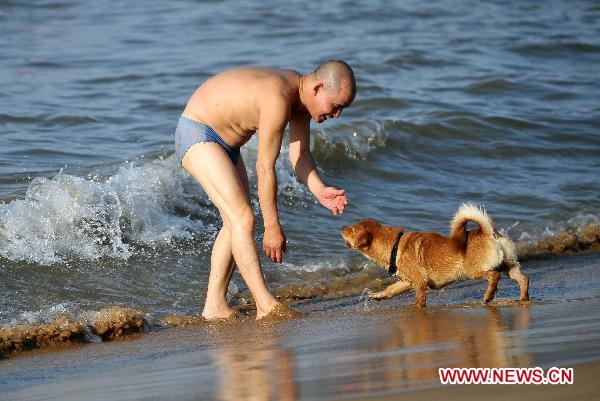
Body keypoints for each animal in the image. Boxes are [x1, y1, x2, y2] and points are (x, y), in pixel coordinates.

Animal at [342, 203, 528, 306]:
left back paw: (489, 296)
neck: (395, 244)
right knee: (523, 279)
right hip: (508, 266)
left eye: (352, 229)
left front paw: (416, 309)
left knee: (494, 276)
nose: (342, 227)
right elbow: (391, 288)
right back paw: (523, 298)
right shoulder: (407, 281)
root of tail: (489, 233)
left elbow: (419, 300)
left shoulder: (420, 284)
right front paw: (379, 295)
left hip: (474, 271)